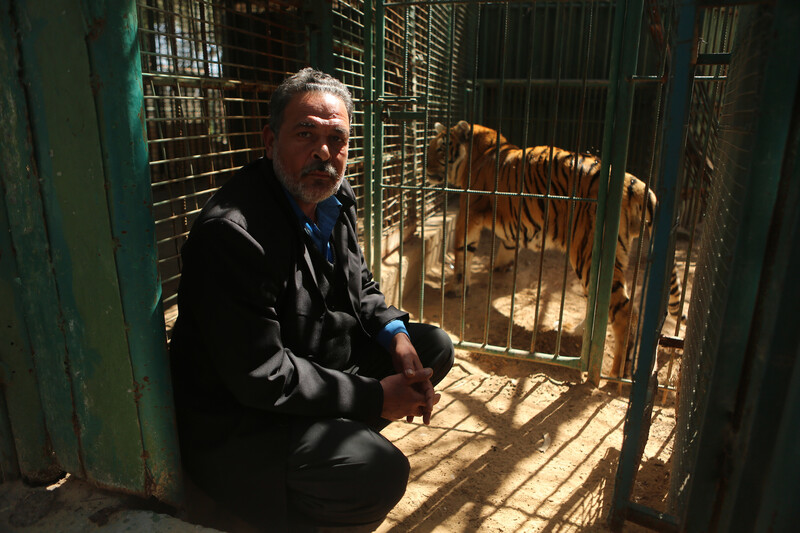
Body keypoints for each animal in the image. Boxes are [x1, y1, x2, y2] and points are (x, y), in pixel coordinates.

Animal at [424, 120, 680, 378]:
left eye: (440, 149)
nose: (425, 168)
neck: (478, 154)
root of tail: (633, 182)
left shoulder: (468, 213)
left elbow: (462, 253)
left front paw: (455, 288)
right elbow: (507, 246)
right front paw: (500, 268)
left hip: (588, 253)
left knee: (625, 313)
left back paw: (615, 372)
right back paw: (578, 335)